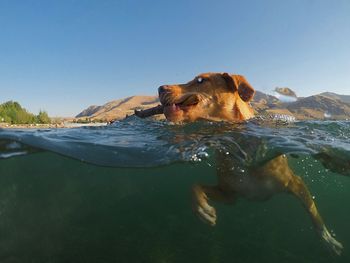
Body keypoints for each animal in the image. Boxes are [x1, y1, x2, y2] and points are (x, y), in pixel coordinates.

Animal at [157, 72, 344, 256]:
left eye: (201, 80)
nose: (160, 88)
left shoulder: (295, 183)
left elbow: (315, 215)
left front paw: (329, 240)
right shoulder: (229, 194)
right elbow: (195, 186)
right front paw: (202, 209)